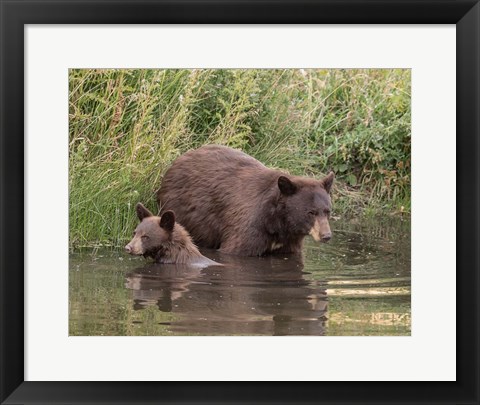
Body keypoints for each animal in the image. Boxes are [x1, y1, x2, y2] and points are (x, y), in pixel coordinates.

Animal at [158, 145, 334, 256]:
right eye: (311, 212)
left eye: (327, 211)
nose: (326, 235)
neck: (278, 222)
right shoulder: (250, 228)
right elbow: (236, 249)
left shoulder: (290, 241)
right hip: (180, 209)